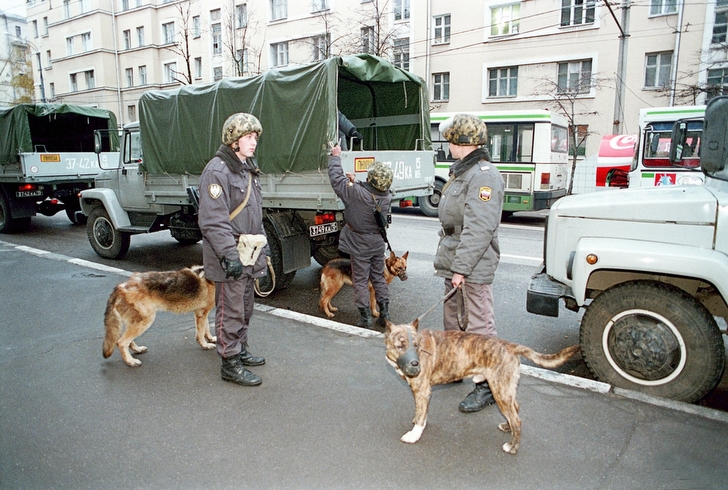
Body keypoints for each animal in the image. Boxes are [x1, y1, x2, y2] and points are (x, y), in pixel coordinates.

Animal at [382, 320, 580, 454]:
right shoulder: (420, 392)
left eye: (416, 346)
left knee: (517, 420)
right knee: (516, 410)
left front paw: (414, 434)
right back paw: (507, 427)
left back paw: (512, 447)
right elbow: (420, 412)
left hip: (499, 390)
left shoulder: (422, 390)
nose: (415, 364)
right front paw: (418, 422)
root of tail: (510, 345)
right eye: (400, 346)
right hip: (506, 389)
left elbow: (421, 415)